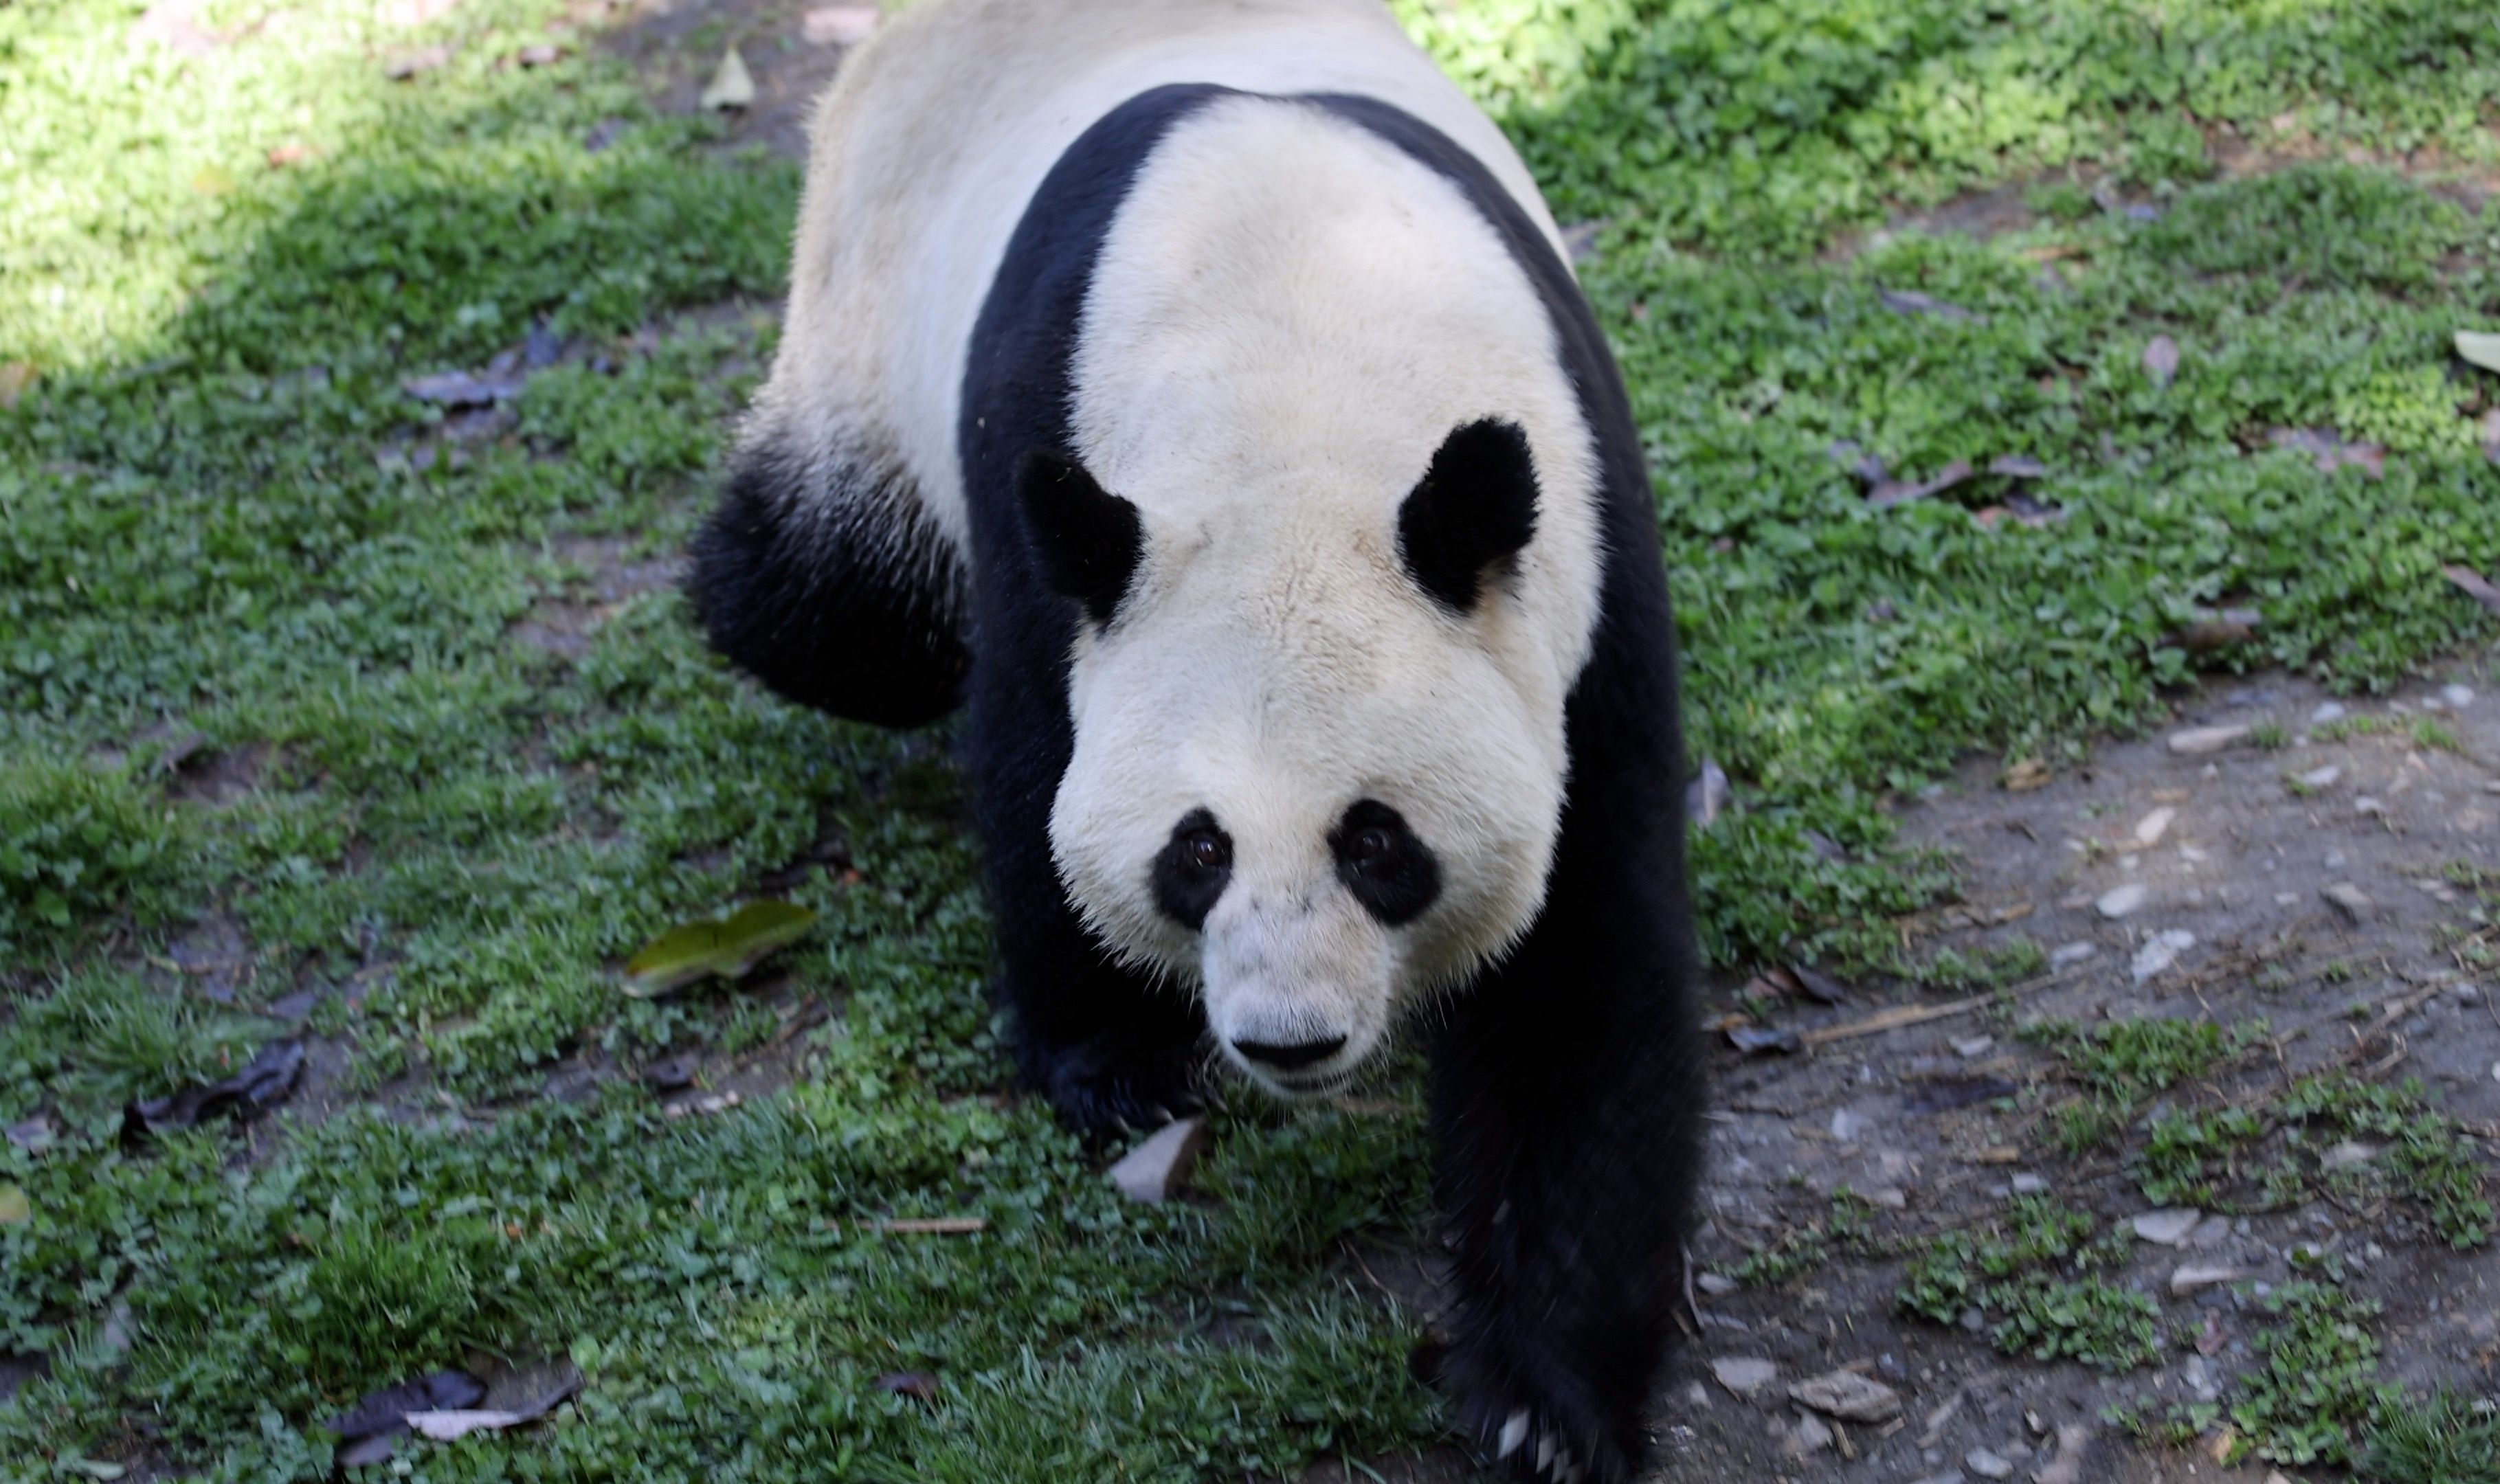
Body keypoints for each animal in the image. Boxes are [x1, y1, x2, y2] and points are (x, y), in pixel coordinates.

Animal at [695, 5, 1710, 1469]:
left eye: (1376, 844)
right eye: (1198, 851)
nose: (1289, 1043)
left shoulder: (1574, 582)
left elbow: (1579, 968)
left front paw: (1542, 1401)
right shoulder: (1048, 515)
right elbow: (1029, 772)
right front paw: (1119, 1067)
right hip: (860, 313)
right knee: (825, 606)